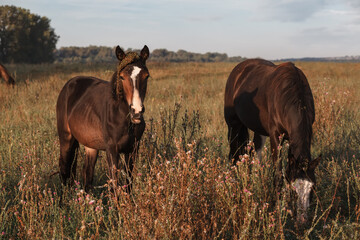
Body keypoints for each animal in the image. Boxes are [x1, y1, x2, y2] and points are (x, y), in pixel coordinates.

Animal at [57, 44, 150, 191]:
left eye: (146, 76)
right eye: (122, 77)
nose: (136, 111)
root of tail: (68, 86)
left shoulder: (133, 150)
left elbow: (128, 183)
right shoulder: (112, 150)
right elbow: (114, 185)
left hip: (90, 146)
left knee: (87, 173)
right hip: (66, 138)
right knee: (64, 167)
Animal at [225, 59, 320, 224]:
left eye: (312, 188)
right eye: (294, 190)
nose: (302, 221)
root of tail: (238, 70)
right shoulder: (276, 137)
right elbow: (278, 175)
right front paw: (278, 209)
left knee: (254, 153)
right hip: (233, 125)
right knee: (233, 155)